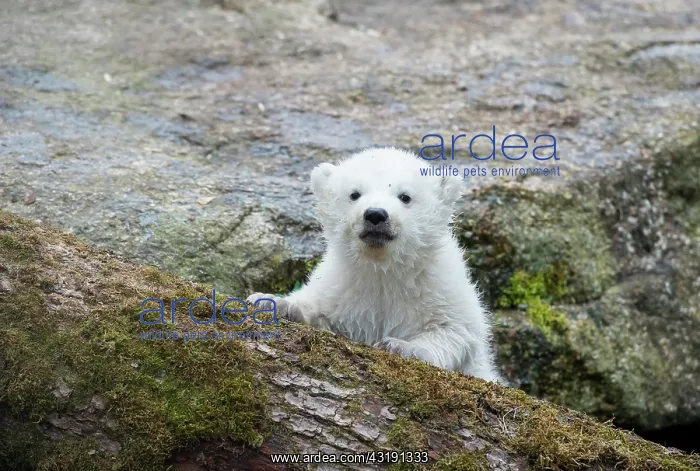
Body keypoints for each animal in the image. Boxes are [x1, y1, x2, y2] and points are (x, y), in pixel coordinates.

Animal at [247, 147, 501, 383]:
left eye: (405, 196)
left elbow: (453, 332)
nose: (376, 215)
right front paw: (273, 302)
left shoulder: (441, 291)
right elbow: (318, 308)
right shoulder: (342, 287)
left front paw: (400, 346)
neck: (383, 270)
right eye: (354, 194)